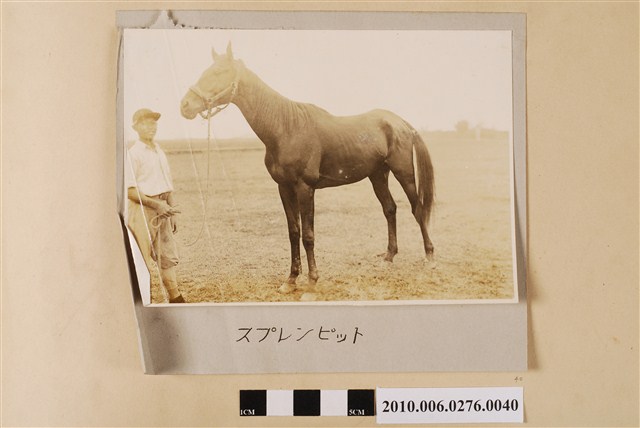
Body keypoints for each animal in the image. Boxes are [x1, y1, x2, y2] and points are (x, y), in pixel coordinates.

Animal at [180, 43, 435, 300]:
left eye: (218, 72)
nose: (185, 105)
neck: (286, 128)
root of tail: (400, 122)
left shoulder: (305, 188)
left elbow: (308, 235)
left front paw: (312, 284)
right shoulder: (284, 188)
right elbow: (294, 232)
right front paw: (291, 280)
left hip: (403, 173)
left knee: (417, 208)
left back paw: (429, 256)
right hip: (378, 175)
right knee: (390, 209)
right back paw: (388, 257)